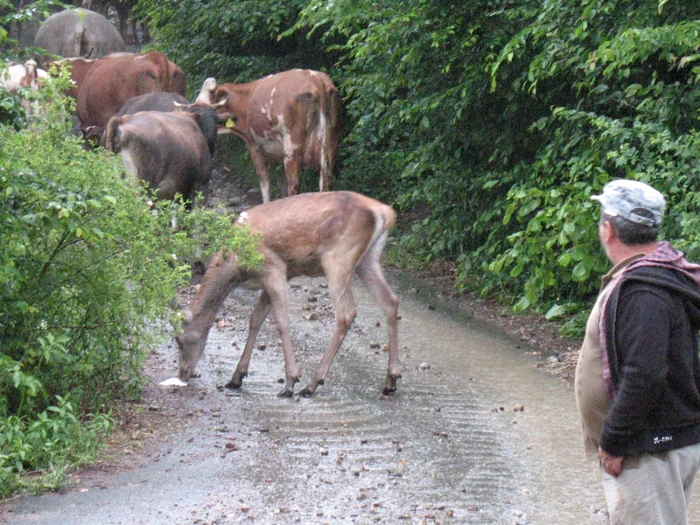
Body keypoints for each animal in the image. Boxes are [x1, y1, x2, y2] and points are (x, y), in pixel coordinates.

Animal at [194, 68, 342, 203]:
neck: (245, 98)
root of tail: (315, 79)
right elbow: (281, 182)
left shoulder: (254, 146)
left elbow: (264, 181)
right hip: (331, 145)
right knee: (327, 181)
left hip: (292, 149)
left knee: (294, 185)